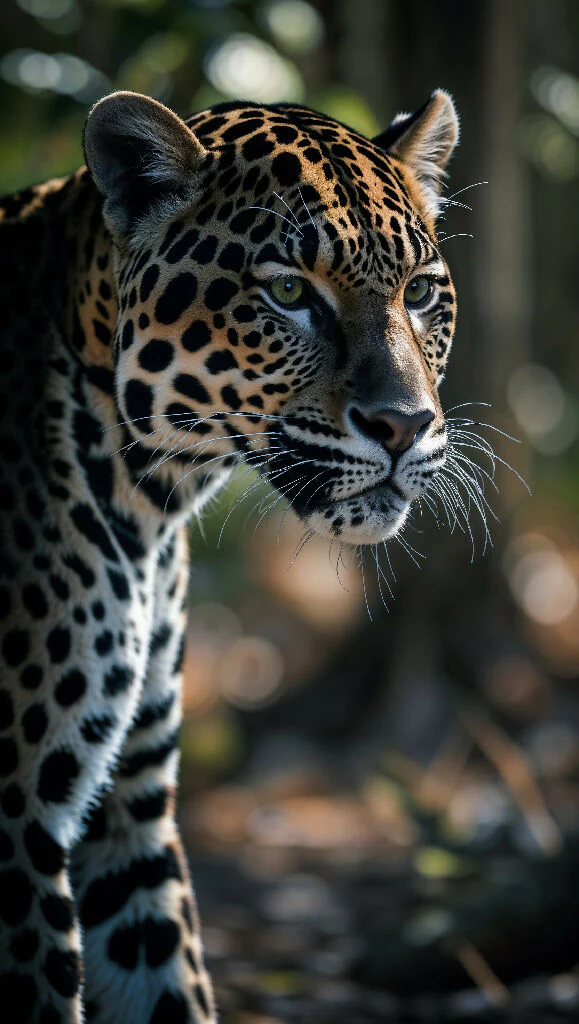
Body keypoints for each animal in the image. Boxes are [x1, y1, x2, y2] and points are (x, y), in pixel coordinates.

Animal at [0, 86, 459, 1023]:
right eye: (287, 291)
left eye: (422, 292)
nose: (404, 424)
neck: (146, 497)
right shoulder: (14, 822)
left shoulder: (128, 808)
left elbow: (167, 976)